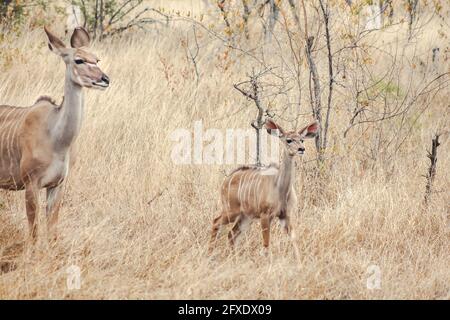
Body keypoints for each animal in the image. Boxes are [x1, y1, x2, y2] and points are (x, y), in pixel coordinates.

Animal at [0, 27, 109, 241]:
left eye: (97, 59)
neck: (57, 140)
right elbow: (34, 233)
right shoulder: (31, 185)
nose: (105, 79)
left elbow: (52, 233)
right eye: (79, 60)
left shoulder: (57, 185)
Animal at [209, 119, 318, 251]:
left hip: (245, 216)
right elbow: (266, 244)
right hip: (231, 211)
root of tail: (226, 181)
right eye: (289, 140)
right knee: (216, 222)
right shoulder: (265, 215)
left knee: (231, 234)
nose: (301, 149)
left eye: (302, 140)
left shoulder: (286, 215)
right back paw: (210, 252)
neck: (281, 189)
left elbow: (294, 241)